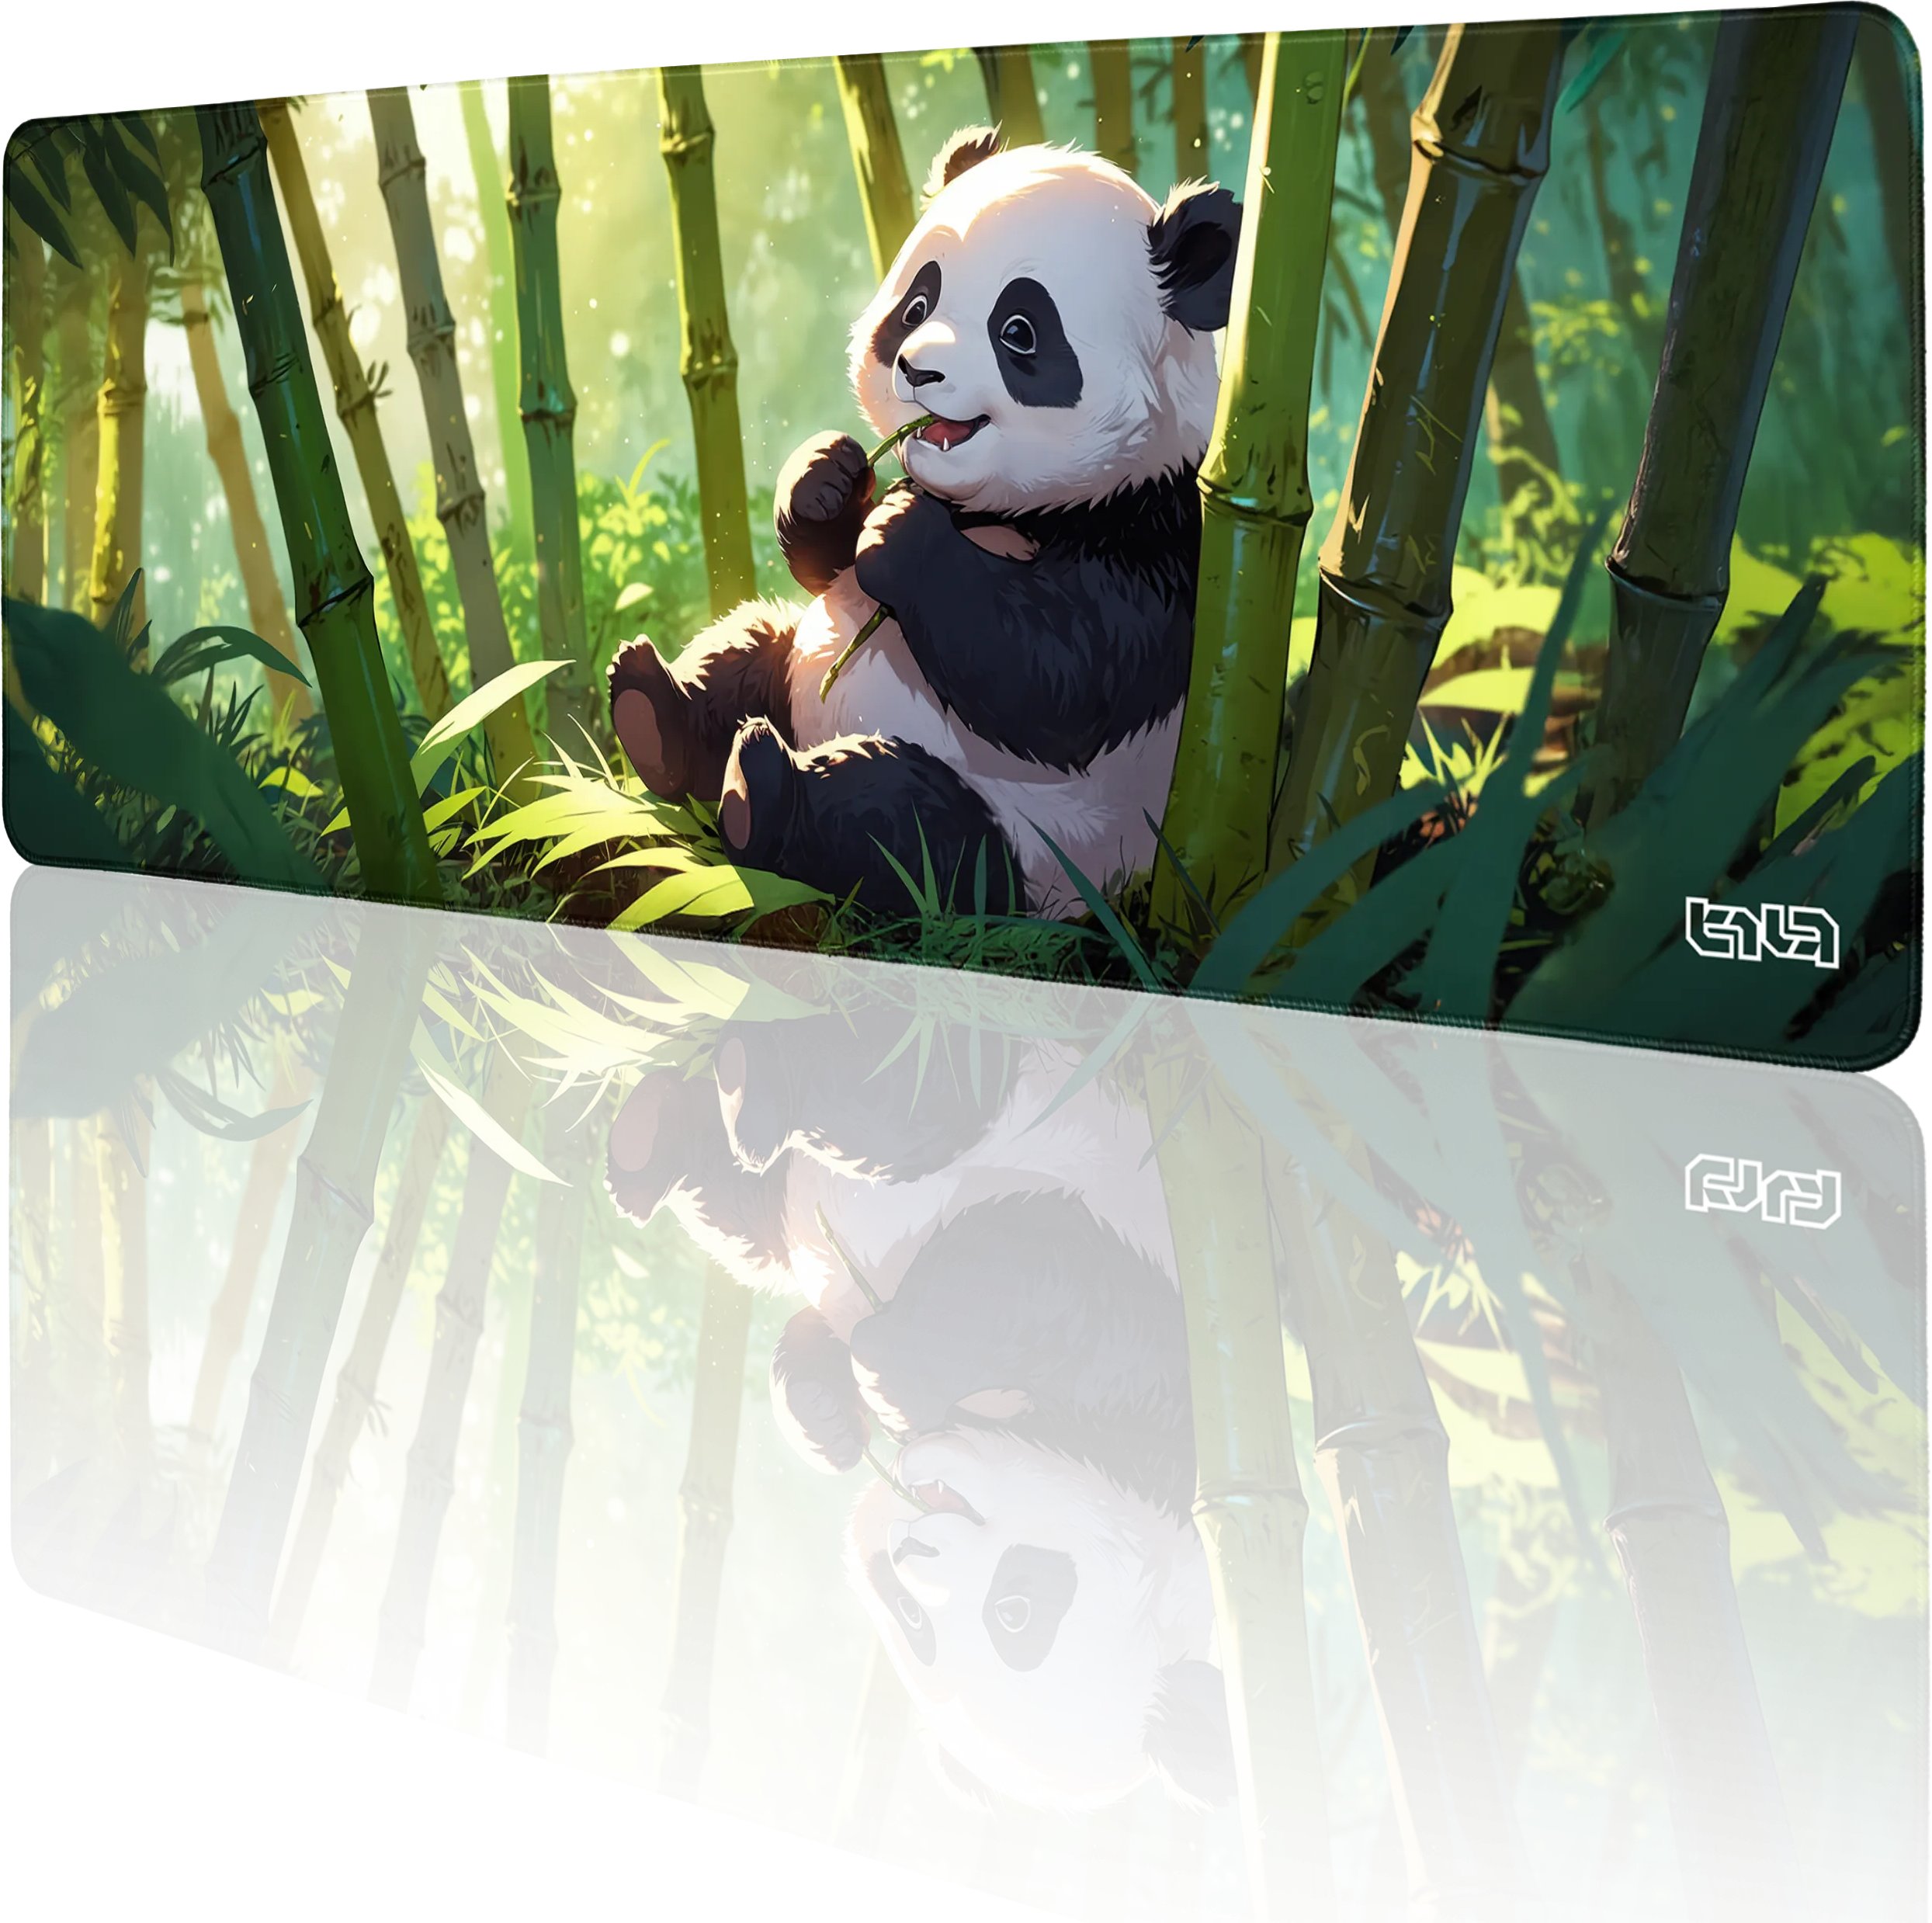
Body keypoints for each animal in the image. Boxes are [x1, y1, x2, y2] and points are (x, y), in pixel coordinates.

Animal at [606, 128, 1241, 917]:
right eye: (916, 305)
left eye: (1019, 331)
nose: (918, 370)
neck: (999, 507)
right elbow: (829, 564)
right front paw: (826, 481)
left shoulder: (1158, 540)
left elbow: (1061, 680)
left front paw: (902, 537)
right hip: (793, 665)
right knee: (747, 647)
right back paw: (650, 711)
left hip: (1046, 850)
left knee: (904, 829)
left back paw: (761, 793)